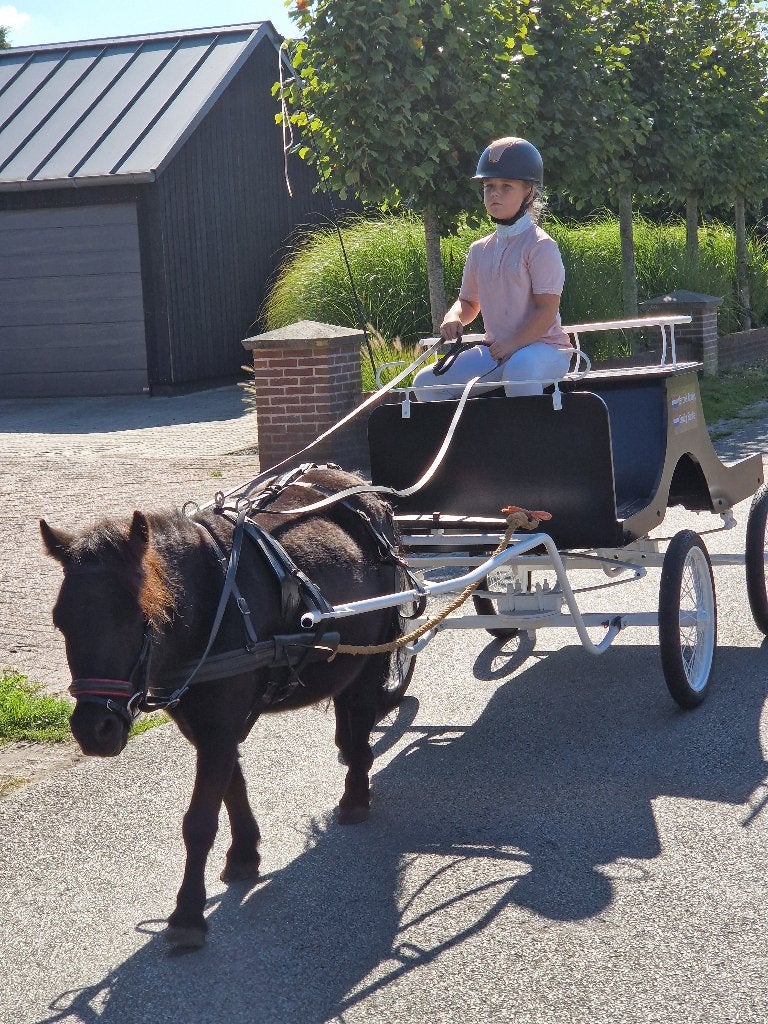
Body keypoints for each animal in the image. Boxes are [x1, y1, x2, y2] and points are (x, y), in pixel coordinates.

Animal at [40, 465, 412, 949]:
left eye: (138, 618)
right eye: (60, 620)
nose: (94, 728)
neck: (212, 603)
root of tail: (357, 486)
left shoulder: (218, 727)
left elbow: (199, 821)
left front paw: (187, 914)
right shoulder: (207, 728)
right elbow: (232, 787)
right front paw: (244, 854)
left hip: (370, 657)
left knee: (362, 714)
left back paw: (355, 793)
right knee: (350, 719)